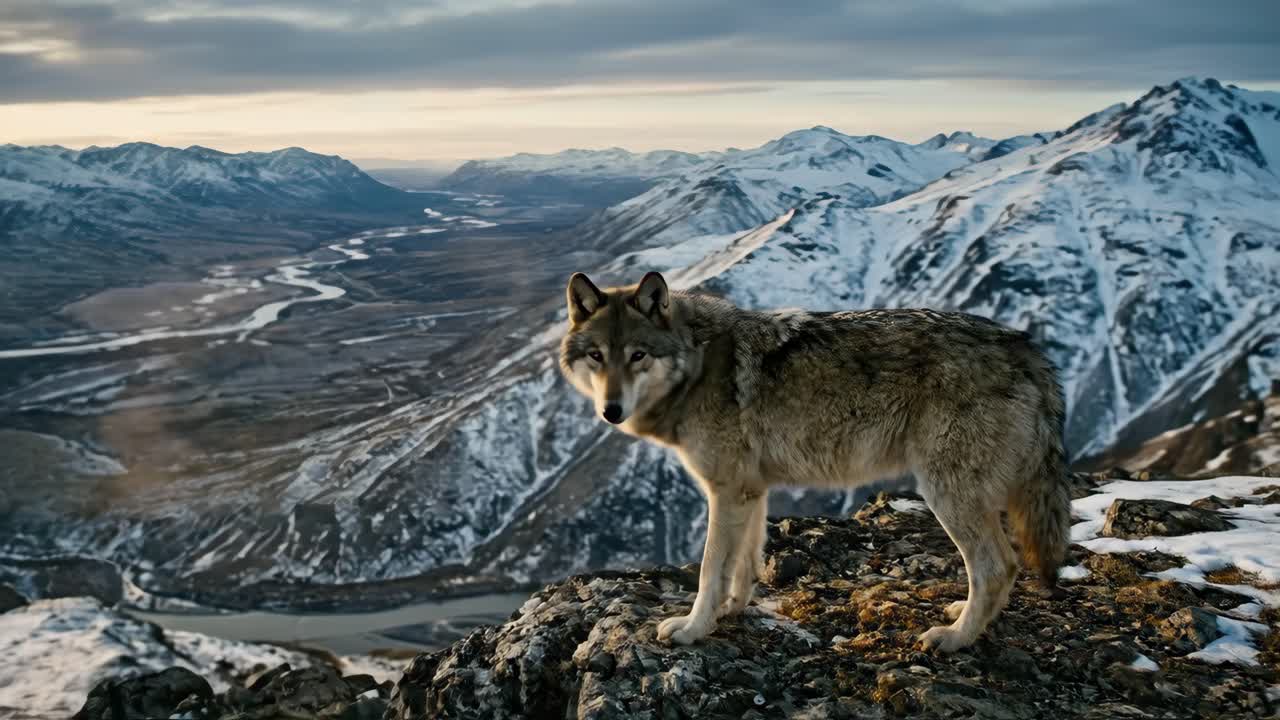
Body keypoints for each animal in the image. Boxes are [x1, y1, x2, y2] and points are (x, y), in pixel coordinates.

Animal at [558, 271, 1071, 652]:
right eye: (597, 356)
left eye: (638, 356)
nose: (610, 411)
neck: (698, 364)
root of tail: (1027, 347)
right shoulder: (750, 490)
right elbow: (743, 564)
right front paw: (731, 610)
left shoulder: (725, 491)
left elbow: (709, 570)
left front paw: (692, 628)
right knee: (1000, 569)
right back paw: (965, 618)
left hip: (946, 493)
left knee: (998, 566)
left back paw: (955, 638)